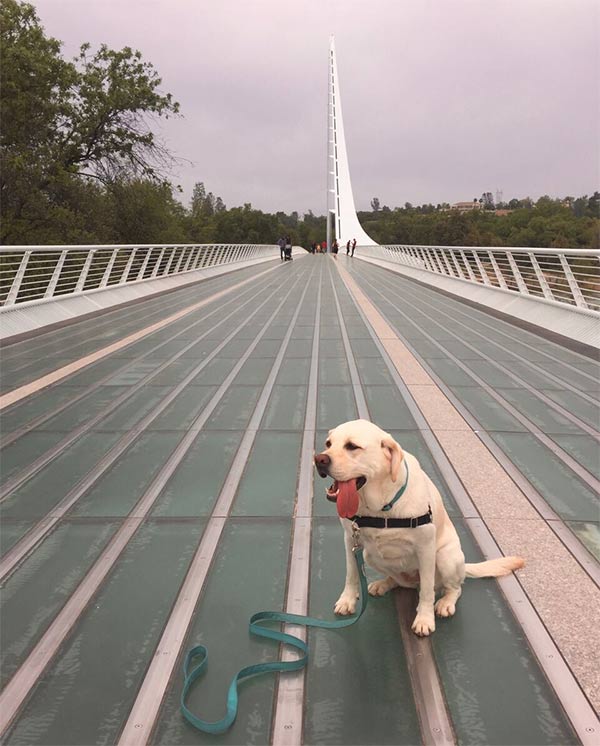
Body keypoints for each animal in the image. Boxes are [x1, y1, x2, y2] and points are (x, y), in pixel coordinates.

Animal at [314, 418, 524, 632]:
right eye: (328, 444)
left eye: (352, 446)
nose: (319, 459)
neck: (380, 506)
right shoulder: (351, 540)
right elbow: (351, 574)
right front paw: (347, 600)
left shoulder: (426, 548)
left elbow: (427, 591)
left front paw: (425, 619)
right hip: (368, 555)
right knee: (397, 581)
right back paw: (383, 584)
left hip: (446, 558)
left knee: (454, 588)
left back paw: (445, 603)